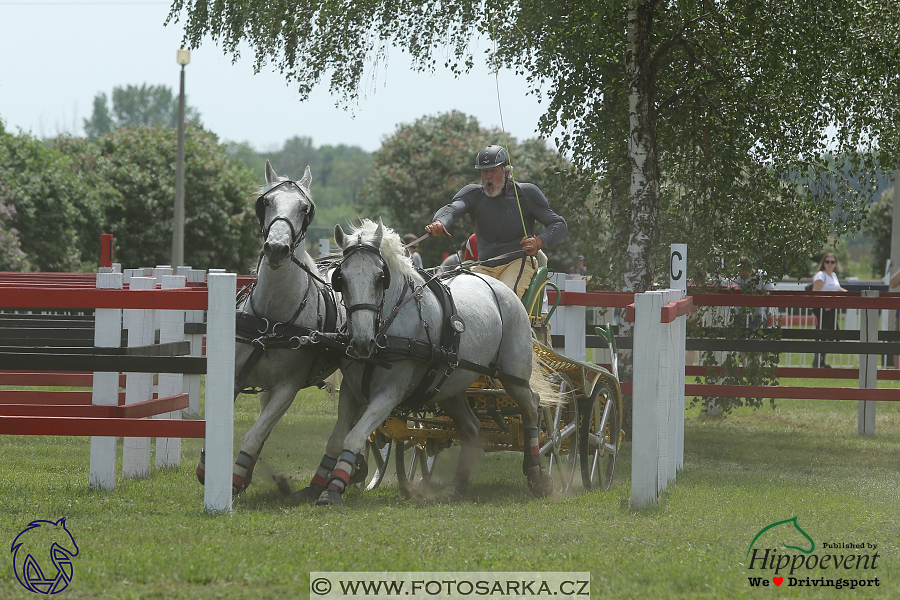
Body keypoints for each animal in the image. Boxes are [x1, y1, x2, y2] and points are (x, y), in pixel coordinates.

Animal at [195, 162, 342, 494]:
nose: (276, 248)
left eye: (304, 208)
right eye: (266, 203)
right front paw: (209, 467)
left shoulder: (287, 388)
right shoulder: (234, 377)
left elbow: (255, 434)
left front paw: (236, 477)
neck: (271, 323)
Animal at [298, 218, 556, 504]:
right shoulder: (351, 391)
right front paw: (317, 485)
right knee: (471, 427)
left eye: (381, 278)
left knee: (532, 406)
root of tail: (501, 289)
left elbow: (354, 437)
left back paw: (537, 474)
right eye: (340, 278)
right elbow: (337, 438)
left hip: (513, 375)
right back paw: (457, 486)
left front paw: (334, 488)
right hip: (449, 386)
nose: (362, 342)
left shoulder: (390, 393)